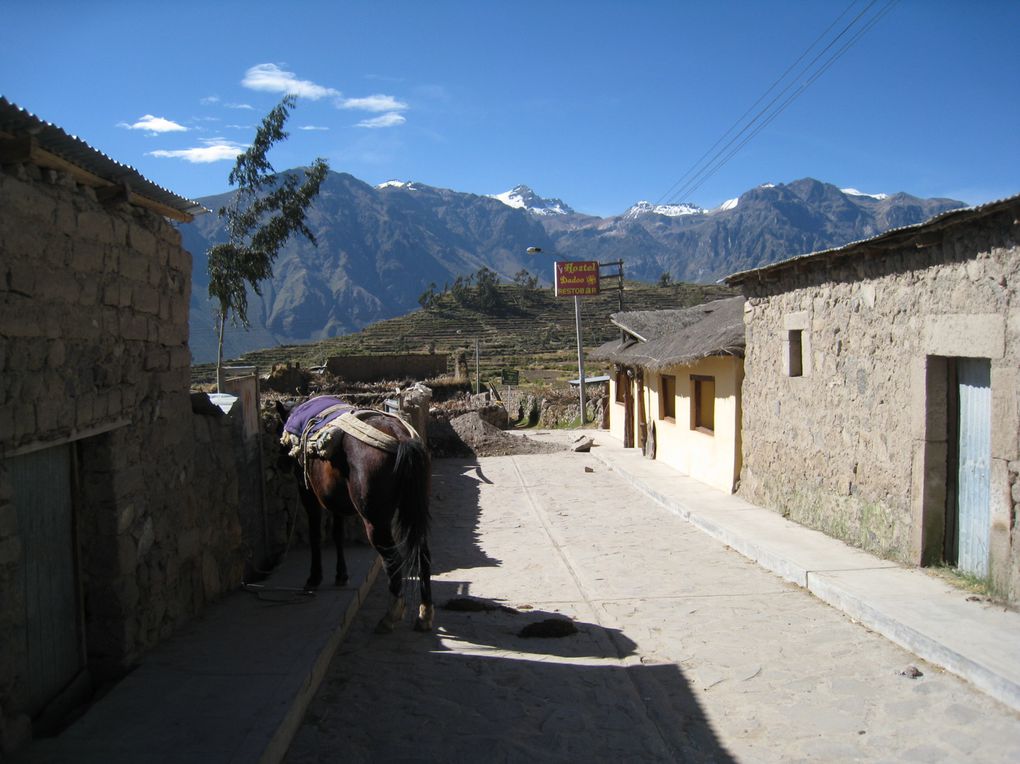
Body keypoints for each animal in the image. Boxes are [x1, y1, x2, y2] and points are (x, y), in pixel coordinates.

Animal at [273, 393, 432, 632]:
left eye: (278, 432)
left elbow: (315, 534)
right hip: (414, 510)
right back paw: (424, 614)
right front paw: (341, 574)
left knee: (393, 559)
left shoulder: (308, 494)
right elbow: (337, 533)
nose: (281, 463)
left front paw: (314, 577)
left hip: (375, 521)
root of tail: (401, 438)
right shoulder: (335, 502)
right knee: (423, 553)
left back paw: (391, 615)